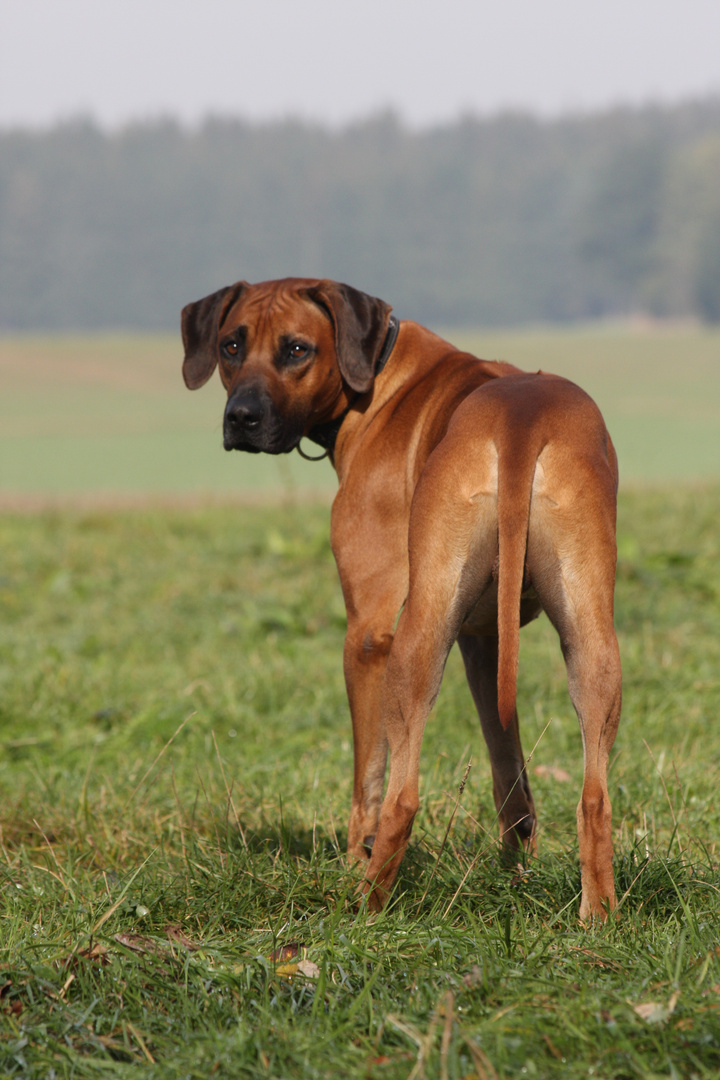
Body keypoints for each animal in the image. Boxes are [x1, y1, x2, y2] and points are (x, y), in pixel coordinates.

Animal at [183, 278, 621, 920]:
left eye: (296, 349)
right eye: (231, 345)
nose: (241, 417)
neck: (381, 374)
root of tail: (521, 422)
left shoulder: (369, 634)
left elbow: (367, 778)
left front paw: (351, 863)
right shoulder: (483, 640)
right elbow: (508, 771)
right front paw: (515, 872)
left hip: (417, 638)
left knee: (401, 796)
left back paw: (363, 905)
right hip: (592, 639)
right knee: (595, 794)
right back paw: (597, 917)